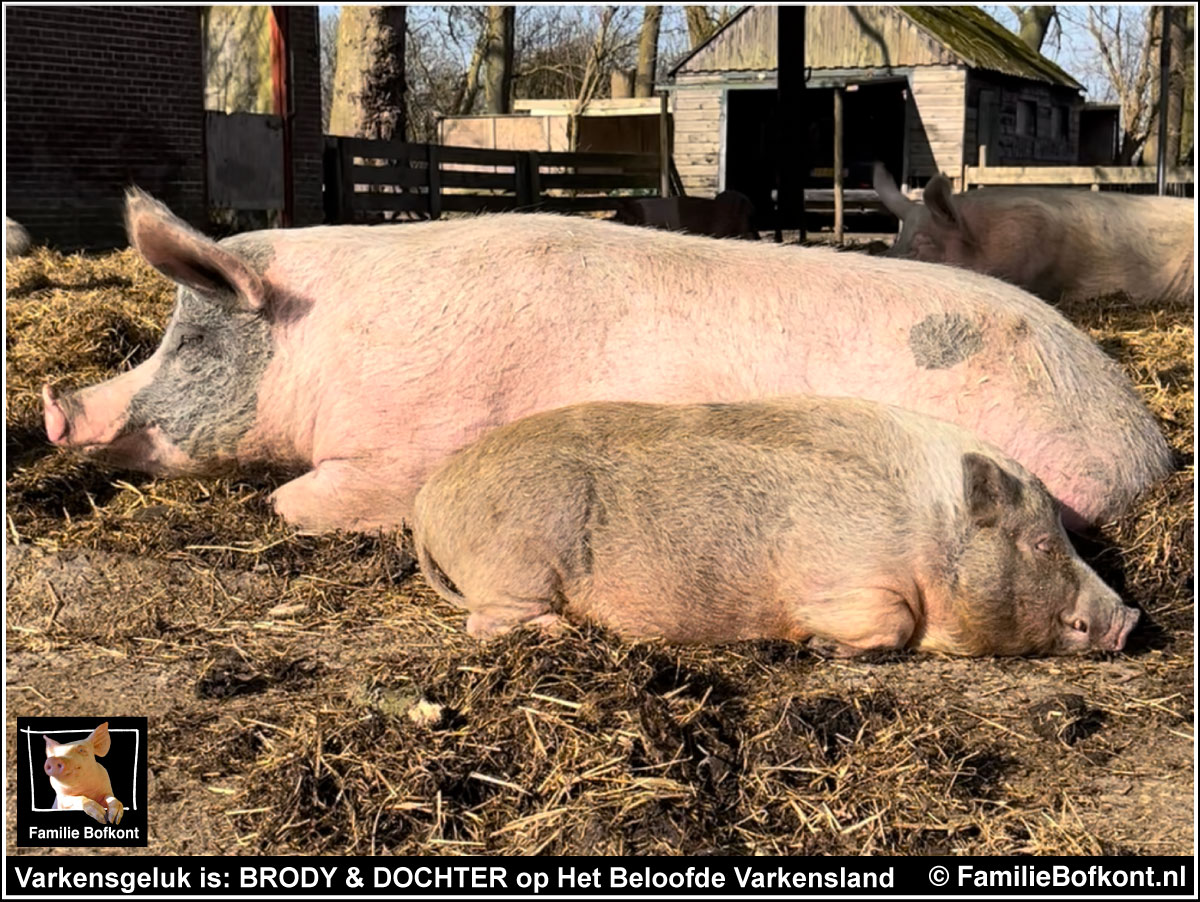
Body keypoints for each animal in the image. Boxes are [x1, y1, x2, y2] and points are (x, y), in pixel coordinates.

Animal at [42, 187, 1166, 532]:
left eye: (191, 340)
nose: (56, 408)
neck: (322, 344)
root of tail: (1146, 442)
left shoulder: (412, 446)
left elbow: (291, 502)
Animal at [417, 398, 1137, 657]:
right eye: (1041, 543)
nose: (1131, 619)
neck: (933, 538)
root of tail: (428, 499)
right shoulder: (846, 581)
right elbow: (892, 622)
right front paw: (813, 647)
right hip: (516, 566)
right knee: (486, 622)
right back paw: (563, 631)